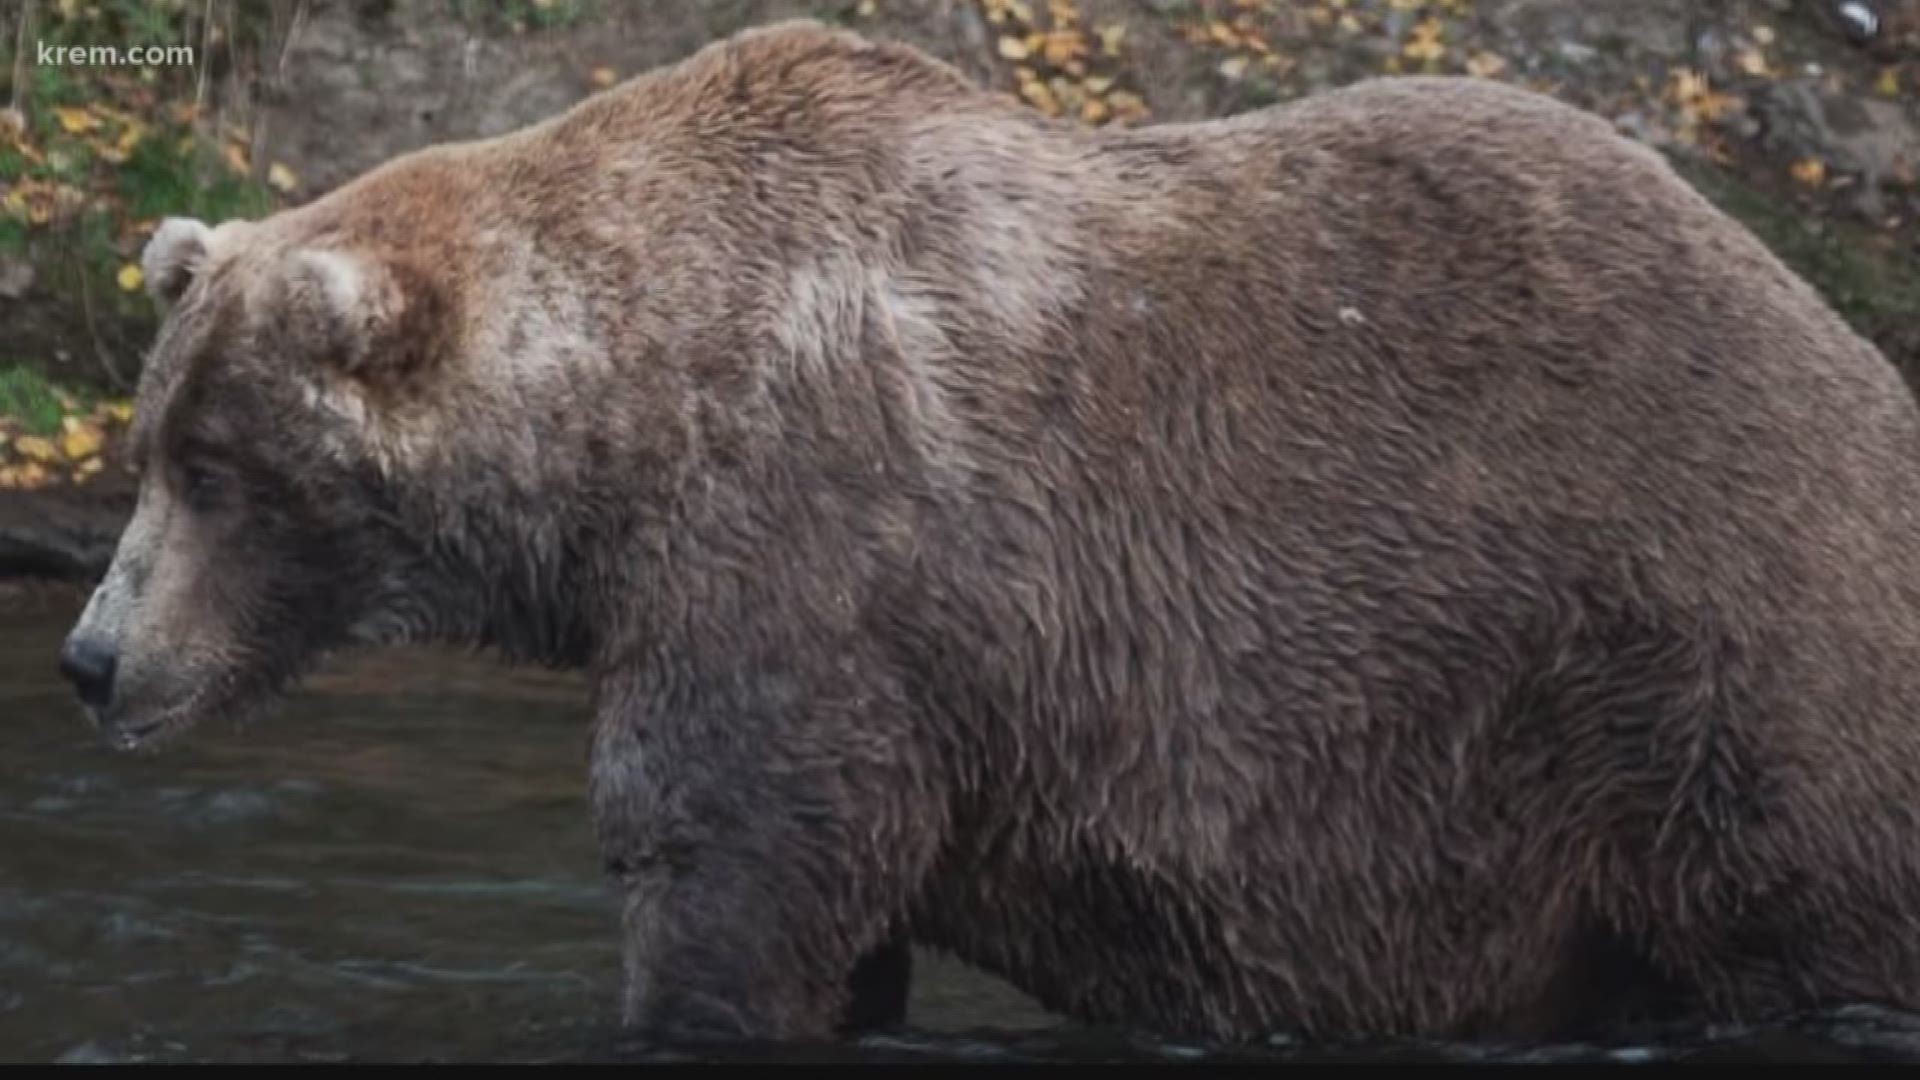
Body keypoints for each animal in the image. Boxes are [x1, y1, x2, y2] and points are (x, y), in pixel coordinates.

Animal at [56, 14, 1920, 1045]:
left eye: (212, 466)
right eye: (150, 442)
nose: (89, 657)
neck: (623, 440)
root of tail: (1853, 355)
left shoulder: (807, 563)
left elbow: (724, 868)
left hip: (1698, 649)